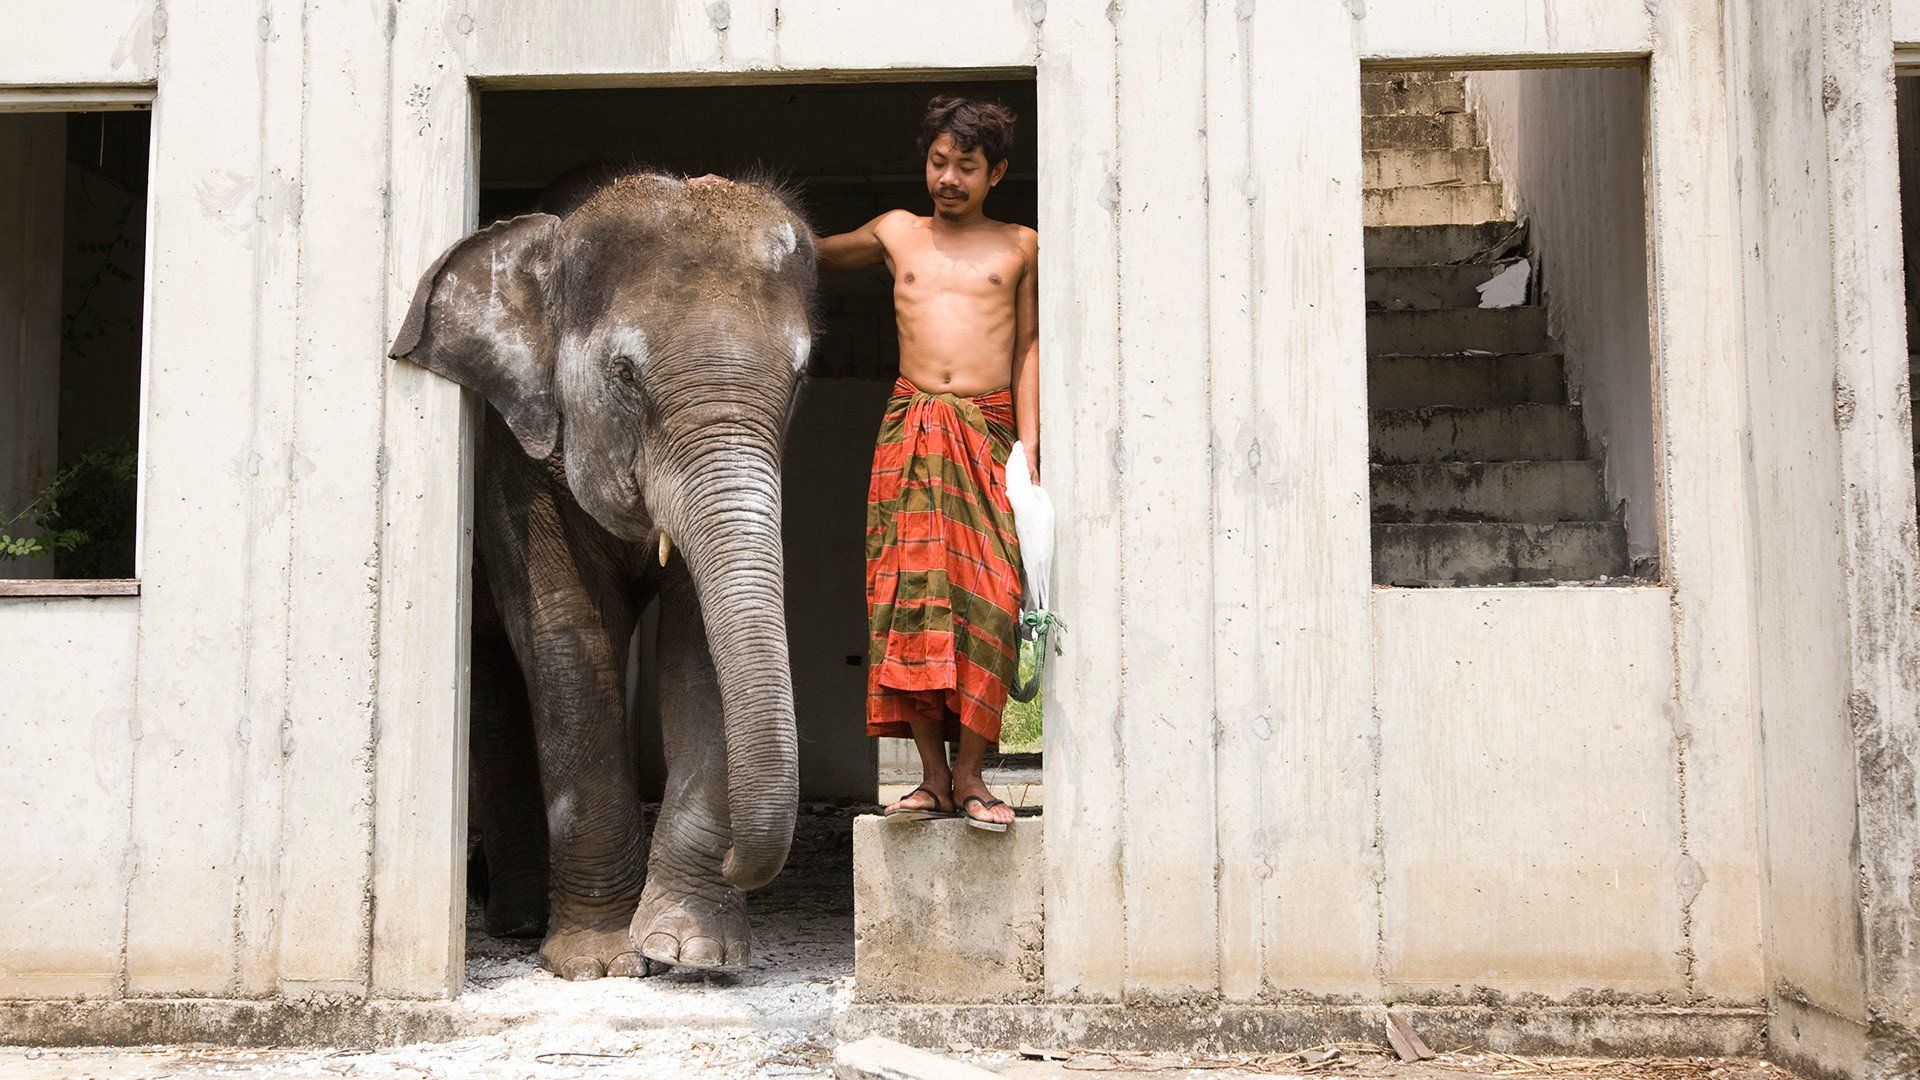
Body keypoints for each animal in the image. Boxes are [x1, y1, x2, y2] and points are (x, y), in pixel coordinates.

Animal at [389, 170, 818, 979]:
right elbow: (567, 633)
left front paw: (692, 951)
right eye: (624, 374)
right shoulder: (516, 458)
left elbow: (698, 645)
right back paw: (521, 923)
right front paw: (598, 961)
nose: (743, 863)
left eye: (802, 374)